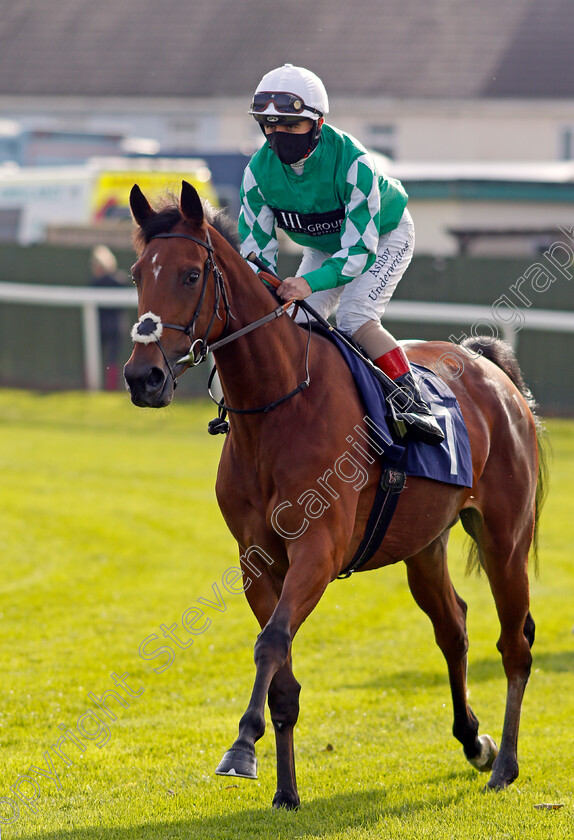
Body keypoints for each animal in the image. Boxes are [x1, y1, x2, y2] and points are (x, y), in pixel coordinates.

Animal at [125, 180, 548, 812]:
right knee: (453, 627)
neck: (278, 408)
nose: (143, 377)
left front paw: (241, 748)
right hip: (424, 546)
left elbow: (271, 642)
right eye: (135, 273)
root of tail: (489, 368)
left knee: (515, 643)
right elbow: (281, 671)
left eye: (191, 274)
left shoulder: (318, 552)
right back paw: (475, 742)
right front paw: (285, 790)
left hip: (504, 539)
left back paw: (506, 766)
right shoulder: (258, 560)